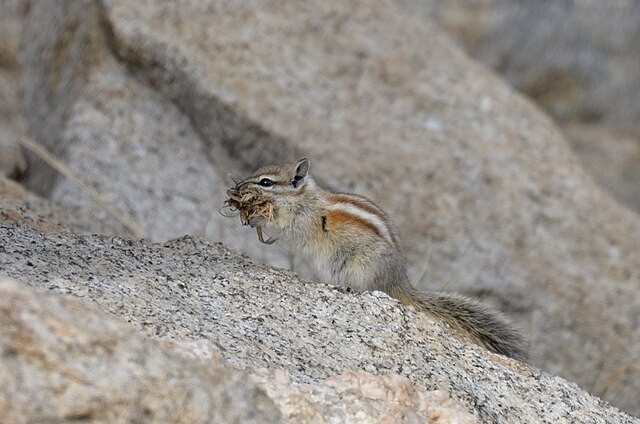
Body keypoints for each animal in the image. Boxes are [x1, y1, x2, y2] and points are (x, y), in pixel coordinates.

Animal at [227, 157, 526, 361]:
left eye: (266, 182)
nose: (238, 186)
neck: (303, 198)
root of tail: (399, 281)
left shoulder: (299, 222)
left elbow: (282, 227)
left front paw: (256, 217)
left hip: (364, 267)